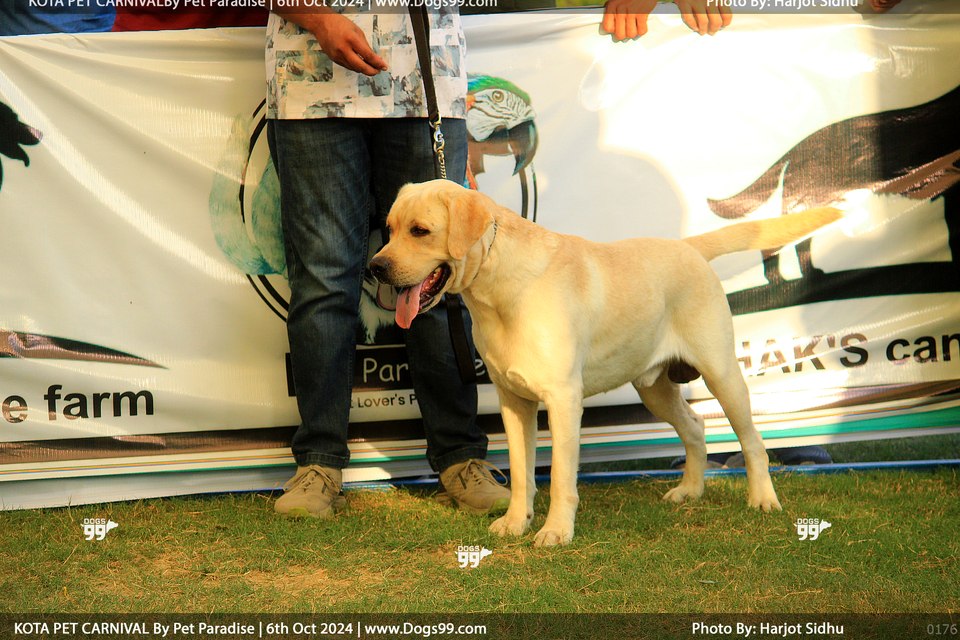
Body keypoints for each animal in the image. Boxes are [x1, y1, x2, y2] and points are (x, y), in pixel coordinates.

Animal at [370, 180, 840, 546]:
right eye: (389, 230)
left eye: (420, 231)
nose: (375, 267)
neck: (501, 286)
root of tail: (687, 246)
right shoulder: (513, 402)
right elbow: (521, 473)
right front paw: (515, 522)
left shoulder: (562, 399)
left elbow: (561, 476)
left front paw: (556, 532)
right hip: (654, 389)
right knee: (695, 426)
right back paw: (688, 491)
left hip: (722, 373)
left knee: (753, 440)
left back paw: (763, 499)